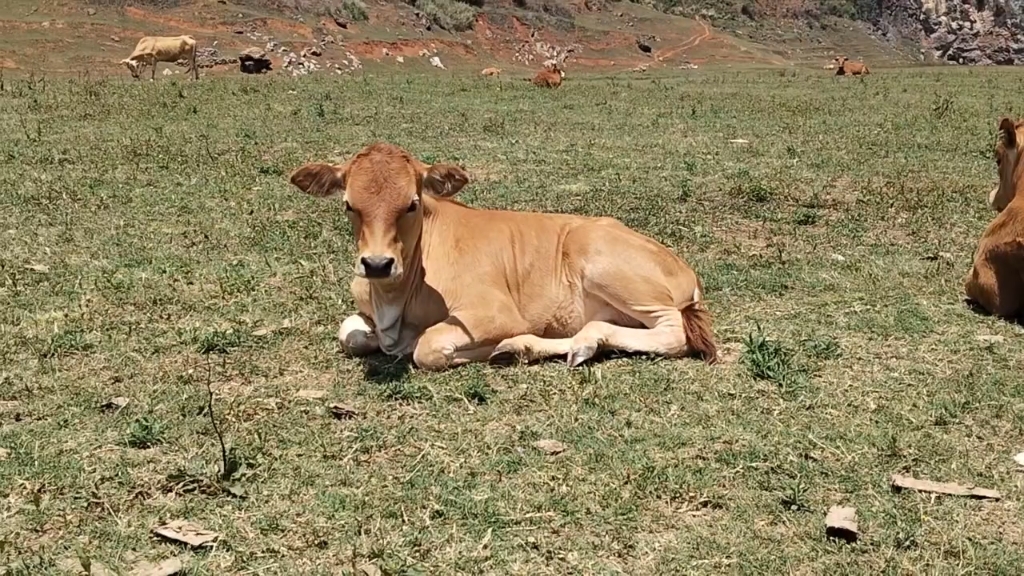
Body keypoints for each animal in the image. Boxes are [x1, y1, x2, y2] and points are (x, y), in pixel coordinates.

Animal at [288, 141, 720, 368]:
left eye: (412, 202)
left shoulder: (495, 312)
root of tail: (684, 268)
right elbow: (349, 333)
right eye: (349, 204)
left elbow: (428, 347)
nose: (376, 264)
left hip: (603, 261)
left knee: (672, 332)